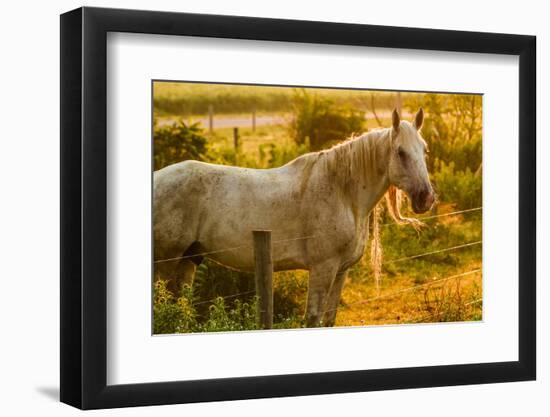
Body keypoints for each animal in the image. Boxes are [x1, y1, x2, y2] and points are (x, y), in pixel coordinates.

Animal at [152, 107, 436, 324]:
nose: (426, 198)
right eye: (400, 152)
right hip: (166, 262)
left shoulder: (341, 271)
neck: (342, 193)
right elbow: (312, 319)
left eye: (425, 150)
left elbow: (328, 320)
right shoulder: (323, 268)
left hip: (189, 259)